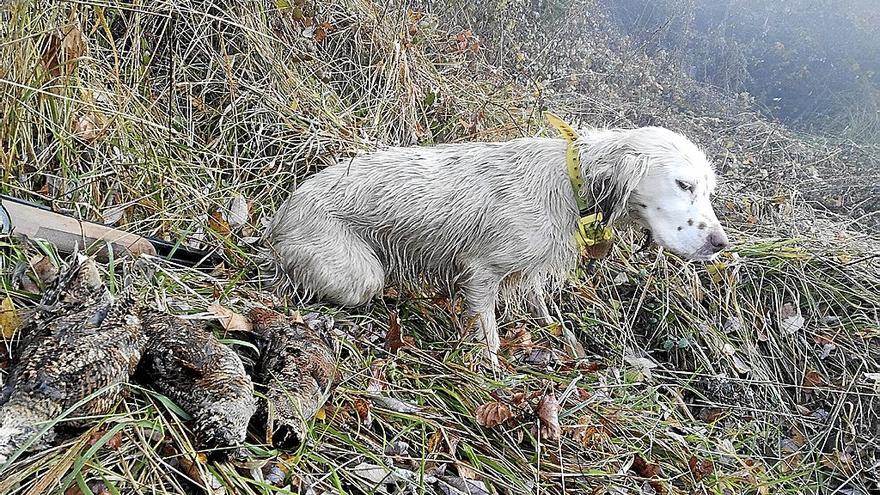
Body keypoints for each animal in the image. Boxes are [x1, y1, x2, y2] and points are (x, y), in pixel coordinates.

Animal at [260, 125, 728, 364]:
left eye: (708, 190)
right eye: (683, 184)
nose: (720, 243)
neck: (569, 182)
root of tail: (280, 217)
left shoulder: (531, 271)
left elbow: (541, 303)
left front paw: (560, 337)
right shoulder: (482, 271)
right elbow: (489, 334)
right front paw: (492, 369)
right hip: (359, 277)